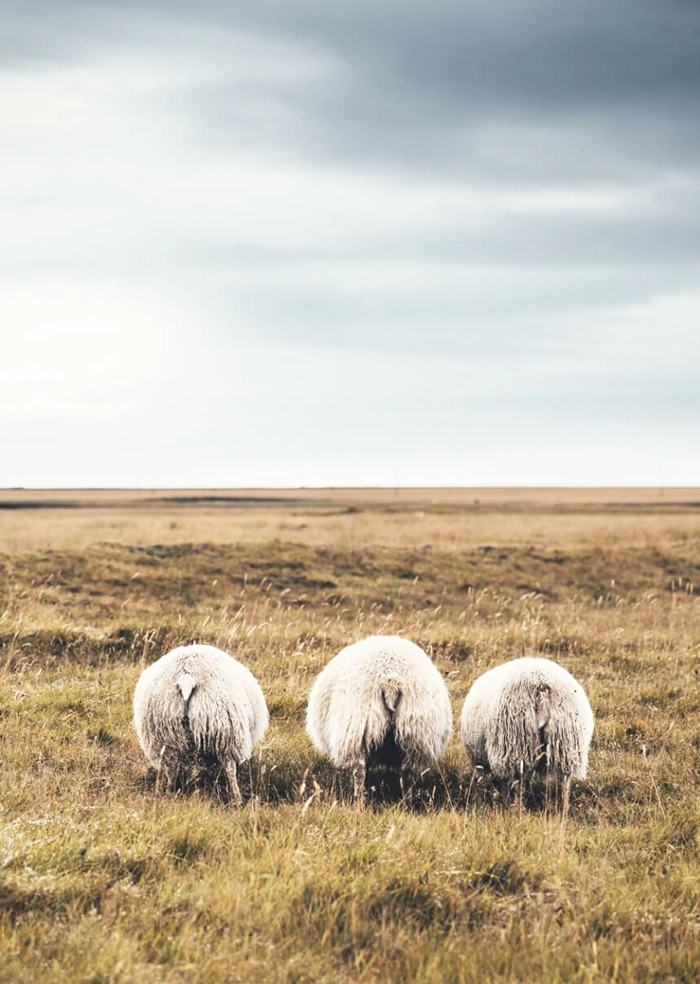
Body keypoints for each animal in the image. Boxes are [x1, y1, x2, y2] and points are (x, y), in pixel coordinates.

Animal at [133, 644, 268, 802]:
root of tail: (186, 675)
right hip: (225, 730)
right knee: (229, 767)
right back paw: (237, 799)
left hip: (166, 734)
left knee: (171, 768)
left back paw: (169, 792)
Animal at [306, 635, 452, 804]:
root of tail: (391, 682)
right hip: (416, 732)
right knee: (407, 772)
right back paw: (407, 803)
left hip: (358, 727)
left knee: (359, 770)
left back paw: (358, 803)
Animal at [460, 656, 594, 806]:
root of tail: (541, 686)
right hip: (566, 745)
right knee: (564, 782)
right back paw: (562, 807)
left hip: (515, 745)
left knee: (517, 781)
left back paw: (515, 805)